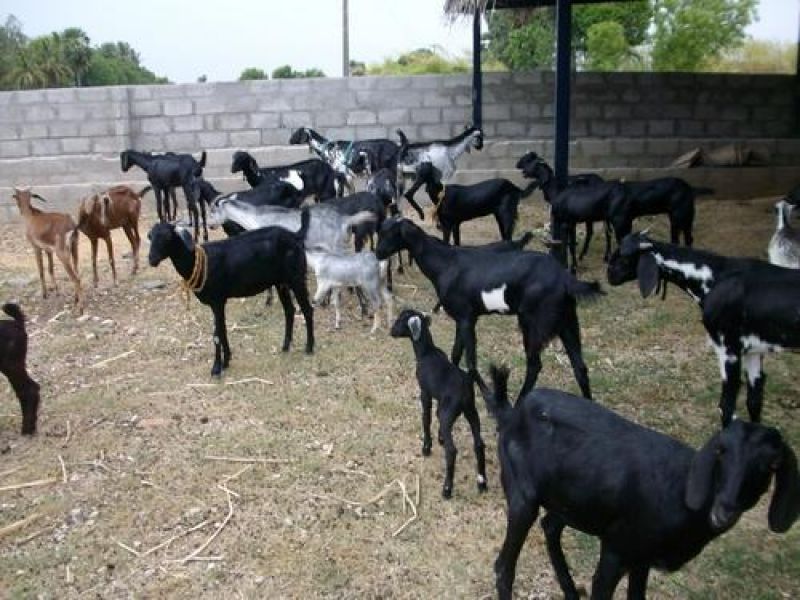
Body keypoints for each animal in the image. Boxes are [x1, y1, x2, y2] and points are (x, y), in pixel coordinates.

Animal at [148, 210, 314, 376]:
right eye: (150, 236)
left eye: (167, 237)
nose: (152, 259)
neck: (198, 261)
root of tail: (295, 235)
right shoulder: (219, 301)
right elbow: (222, 330)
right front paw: (226, 360)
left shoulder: (217, 300)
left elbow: (216, 334)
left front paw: (216, 367)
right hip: (281, 283)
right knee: (289, 310)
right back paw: (285, 347)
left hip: (296, 277)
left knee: (307, 309)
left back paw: (309, 347)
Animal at [376, 218, 602, 401]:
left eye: (390, 234)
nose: (377, 253)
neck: (446, 263)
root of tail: (565, 279)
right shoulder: (462, 319)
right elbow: (455, 354)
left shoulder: (467, 319)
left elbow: (470, 361)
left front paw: (486, 392)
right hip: (568, 322)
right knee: (580, 367)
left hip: (533, 324)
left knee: (535, 365)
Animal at [390, 309, 487, 498]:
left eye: (400, 320)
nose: (391, 331)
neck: (427, 352)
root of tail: (465, 387)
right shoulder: (439, 401)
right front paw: (440, 436)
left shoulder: (425, 393)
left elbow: (426, 418)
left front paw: (426, 447)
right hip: (471, 411)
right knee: (479, 444)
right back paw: (481, 482)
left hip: (448, 412)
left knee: (451, 450)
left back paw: (447, 489)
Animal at [478, 364, 800, 600]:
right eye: (722, 452)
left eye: (772, 465)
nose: (725, 510)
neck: (681, 492)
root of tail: (512, 413)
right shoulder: (616, 550)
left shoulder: (642, 560)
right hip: (523, 494)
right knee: (504, 566)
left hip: (571, 497)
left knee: (550, 526)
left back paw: (570, 590)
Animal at [607, 231, 800, 425]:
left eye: (625, 258)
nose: (609, 274)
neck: (715, 277)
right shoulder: (753, 351)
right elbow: (754, 401)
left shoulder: (728, 350)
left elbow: (726, 408)